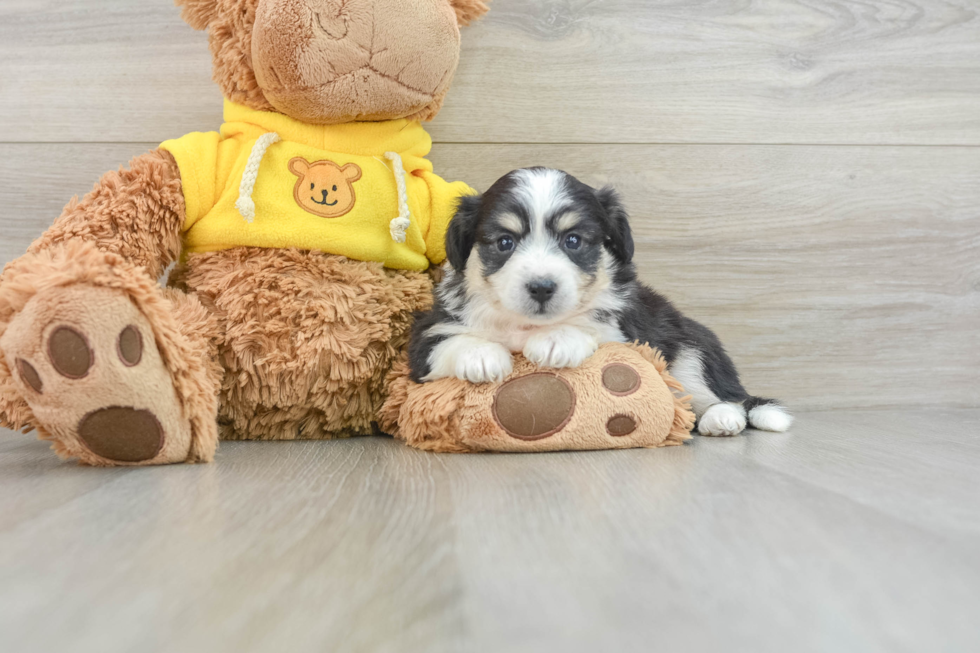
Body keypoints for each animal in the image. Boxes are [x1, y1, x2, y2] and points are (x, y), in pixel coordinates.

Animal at [410, 168, 792, 436]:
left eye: (573, 240)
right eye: (505, 242)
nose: (542, 287)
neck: (529, 325)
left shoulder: (631, 333)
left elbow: (594, 326)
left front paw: (557, 340)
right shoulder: (423, 338)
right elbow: (448, 340)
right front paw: (482, 356)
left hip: (691, 347)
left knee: (724, 396)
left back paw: (723, 417)